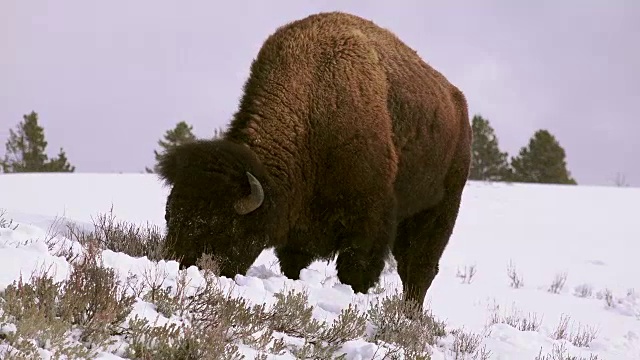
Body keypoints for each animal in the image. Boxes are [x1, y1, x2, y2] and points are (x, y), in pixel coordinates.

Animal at [158, 11, 472, 310]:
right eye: (169, 215)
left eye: (219, 227)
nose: (178, 267)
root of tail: (459, 105)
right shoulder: (300, 230)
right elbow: (293, 263)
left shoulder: (368, 221)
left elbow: (357, 270)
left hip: (439, 209)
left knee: (417, 269)